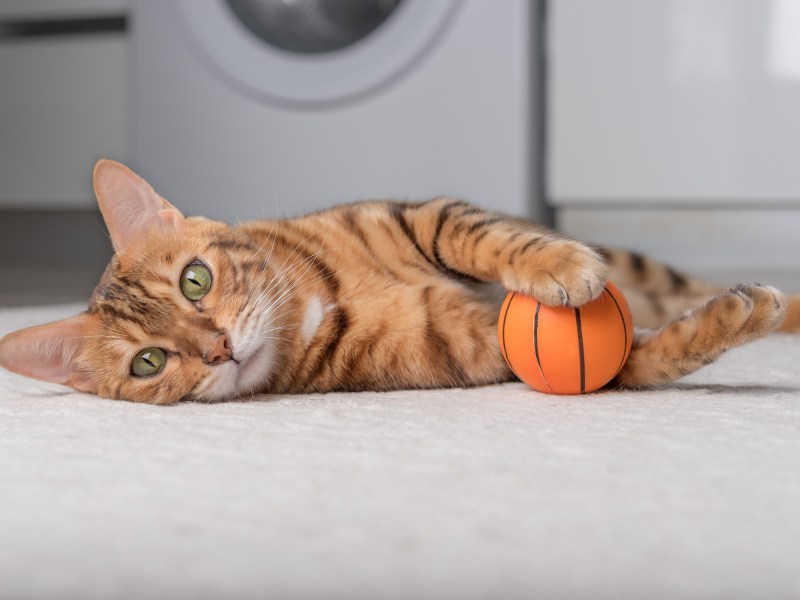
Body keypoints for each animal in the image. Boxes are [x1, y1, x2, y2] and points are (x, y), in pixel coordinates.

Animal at [1, 159, 800, 404]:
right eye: (148, 362)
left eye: (195, 281)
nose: (220, 348)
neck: (315, 300)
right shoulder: (474, 349)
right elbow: (639, 358)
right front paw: (729, 322)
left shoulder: (416, 215)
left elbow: (484, 237)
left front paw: (559, 267)